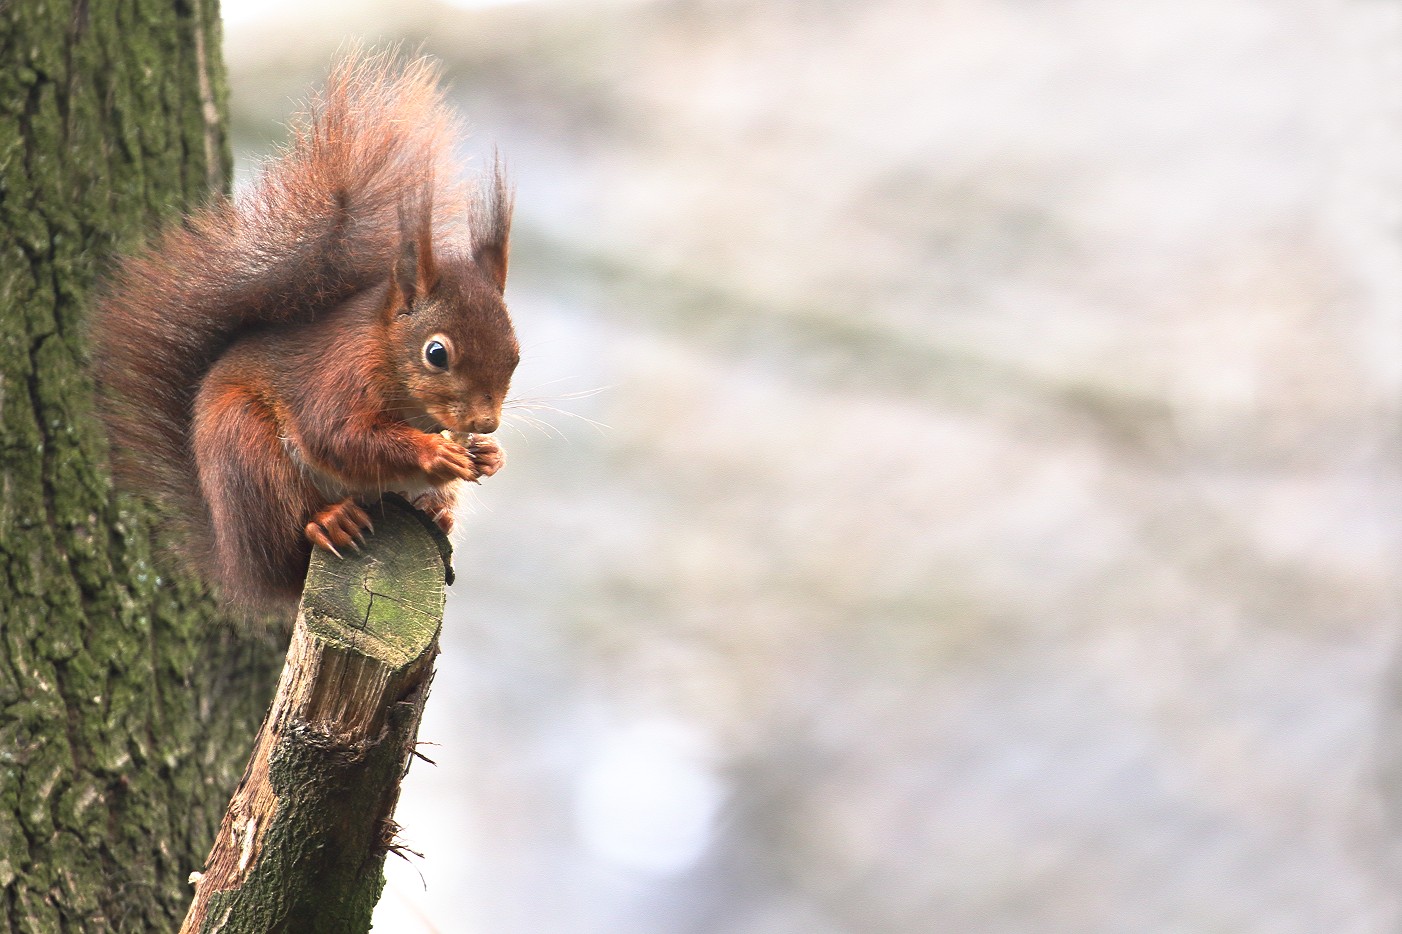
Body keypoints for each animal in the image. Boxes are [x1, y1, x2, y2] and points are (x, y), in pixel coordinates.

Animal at [91, 50, 521, 608]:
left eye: (516, 353)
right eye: (436, 353)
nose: (486, 423)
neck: (386, 354)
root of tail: (240, 566)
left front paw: (488, 455)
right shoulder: (336, 376)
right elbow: (338, 435)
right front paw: (436, 451)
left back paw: (438, 510)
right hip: (246, 452)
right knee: (290, 542)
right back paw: (330, 521)